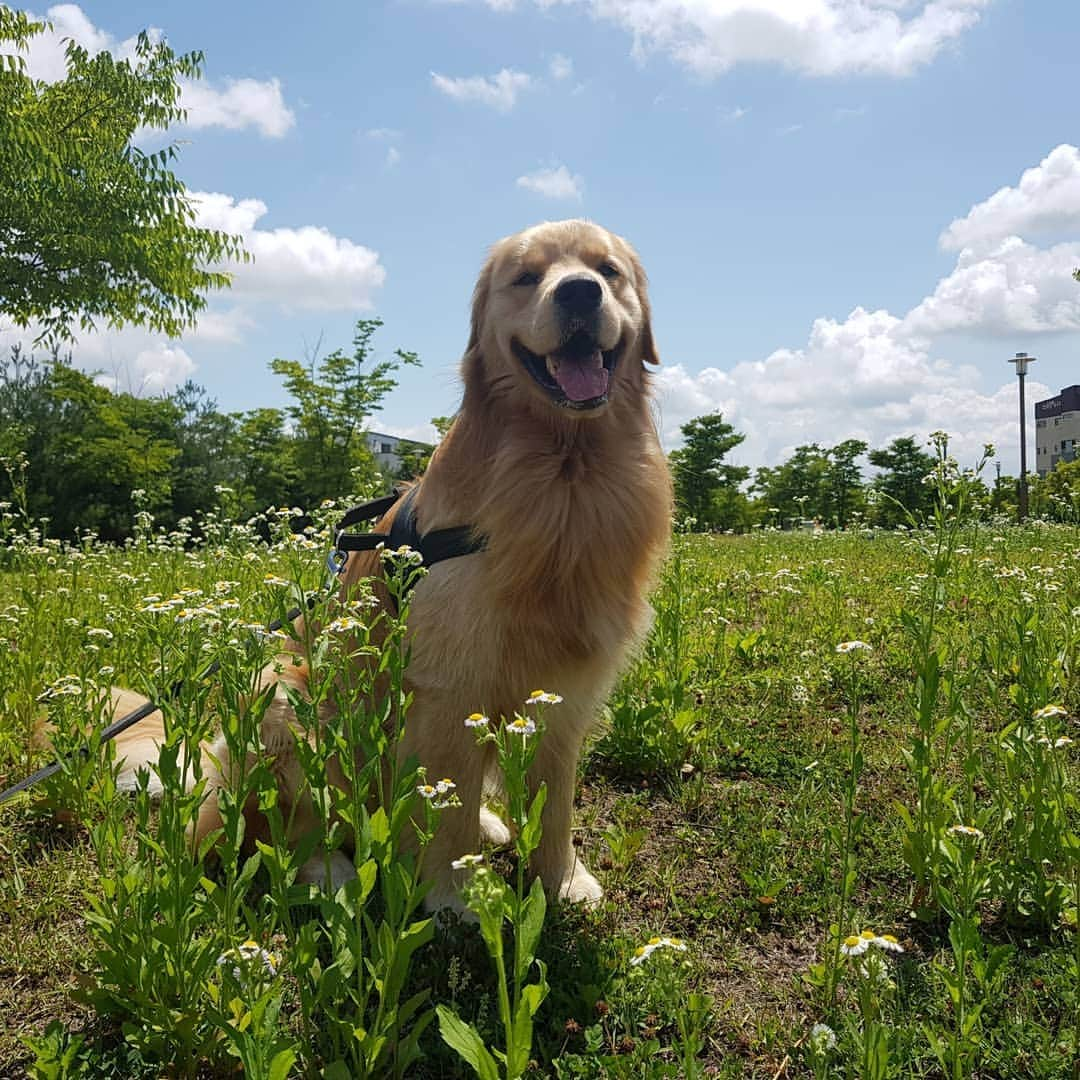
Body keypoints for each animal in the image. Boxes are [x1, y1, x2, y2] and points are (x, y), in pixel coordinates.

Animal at [111, 219, 665, 911]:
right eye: (527, 277)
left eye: (607, 270)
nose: (580, 292)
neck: (566, 473)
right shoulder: (451, 685)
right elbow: (447, 809)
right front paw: (457, 896)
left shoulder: (565, 689)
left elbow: (554, 805)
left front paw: (562, 881)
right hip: (283, 696)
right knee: (276, 833)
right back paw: (333, 873)